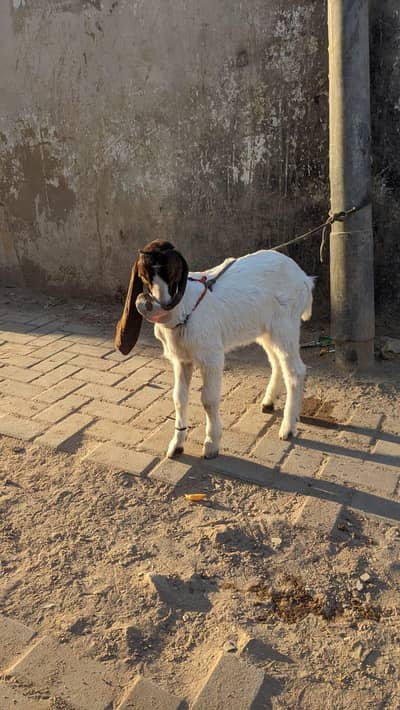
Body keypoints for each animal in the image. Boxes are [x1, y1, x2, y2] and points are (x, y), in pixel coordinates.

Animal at [115, 240, 314, 459]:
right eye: (144, 276)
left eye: (173, 272)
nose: (162, 307)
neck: (184, 308)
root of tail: (304, 278)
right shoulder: (182, 360)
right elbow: (178, 398)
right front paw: (176, 445)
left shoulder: (211, 357)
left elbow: (208, 400)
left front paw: (211, 444)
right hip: (266, 330)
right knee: (276, 361)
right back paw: (269, 402)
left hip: (285, 326)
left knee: (296, 370)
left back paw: (287, 428)